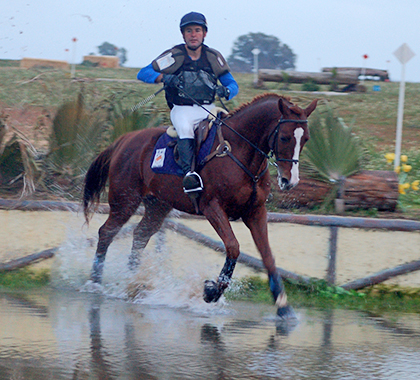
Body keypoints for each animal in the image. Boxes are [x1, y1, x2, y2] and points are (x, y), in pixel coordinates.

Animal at [83, 93, 316, 320]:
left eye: (306, 139)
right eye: (284, 137)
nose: (290, 181)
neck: (241, 151)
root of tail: (125, 139)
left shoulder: (255, 212)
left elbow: (267, 255)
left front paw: (282, 305)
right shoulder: (212, 208)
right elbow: (233, 247)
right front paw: (212, 291)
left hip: (158, 205)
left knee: (140, 235)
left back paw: (132, 281)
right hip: (125, 201)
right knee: (107, 232)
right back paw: (95, 282)